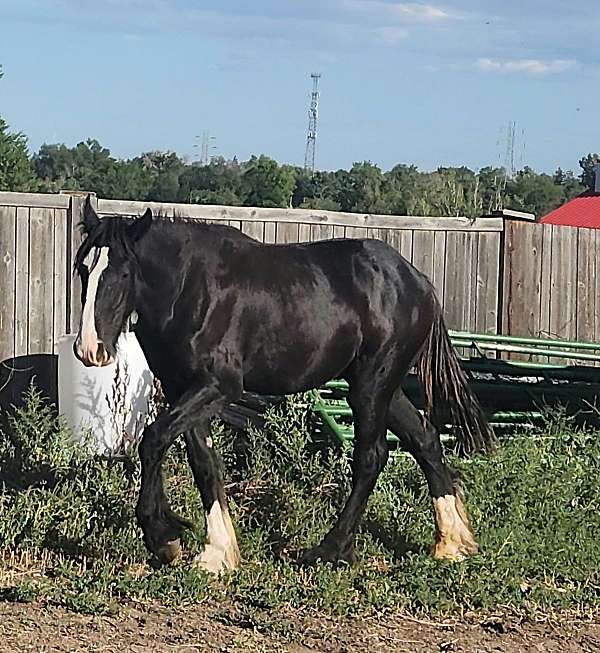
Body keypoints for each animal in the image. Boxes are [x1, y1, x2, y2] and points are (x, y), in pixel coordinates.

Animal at [73, 196, 495, 573]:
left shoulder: (219, 386)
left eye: (123, 273)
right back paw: (452, 543)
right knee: (425, 438)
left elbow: (153, 439)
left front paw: (163, 538)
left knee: (372, 456)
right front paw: (216, 552)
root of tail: (417, 282)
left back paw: (331, 550)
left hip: (372, 385)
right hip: (381, 386)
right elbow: (202, 460)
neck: (191, 288)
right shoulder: (182, 387)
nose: (89, 349)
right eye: (83, 268)